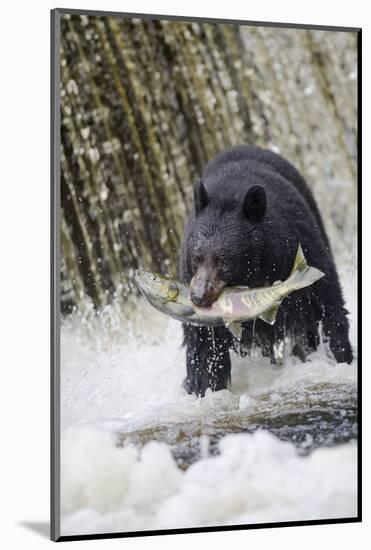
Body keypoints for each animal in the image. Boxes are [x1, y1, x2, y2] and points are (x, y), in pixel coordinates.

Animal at [180, 147, 354, 396]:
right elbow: (203, 342)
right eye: (197, 257)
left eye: (223, 260)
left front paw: (340, 358)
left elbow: (326, 303)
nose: (198, 297)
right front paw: (204, 388)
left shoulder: (299, 246)